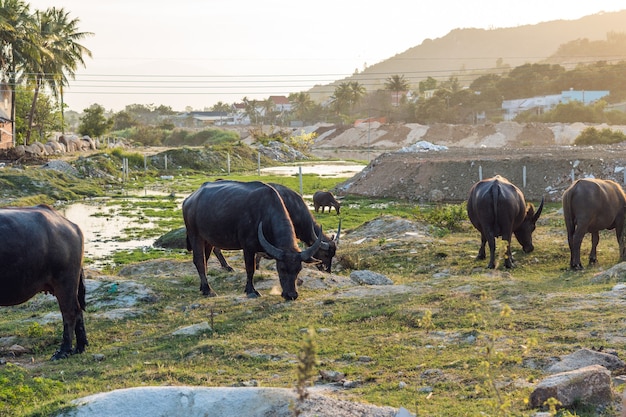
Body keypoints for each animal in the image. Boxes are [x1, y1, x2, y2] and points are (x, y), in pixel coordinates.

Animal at [0, 203, 86, 360]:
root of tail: (71, 225)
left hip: (65, 282)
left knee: (70, 312)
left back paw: (63, 351)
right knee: (77, 311)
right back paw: (80, 347)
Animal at [179, 179, 316, 300]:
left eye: (298, 269)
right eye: (281, 268)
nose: (292, 295)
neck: (265, 214)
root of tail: (188, 200)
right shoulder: (248, 248)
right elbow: (250, 269)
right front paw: (251, 290)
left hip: (208, 240)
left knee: (205, 260)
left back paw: (203, 287)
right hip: (195, 235)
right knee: (199, 261)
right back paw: (208, 290)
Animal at [213, 182, 342, 272]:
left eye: (333, 255)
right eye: (325, 254)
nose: (328, 270)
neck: (294, 207)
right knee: (215, 248)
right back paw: (227, 266)